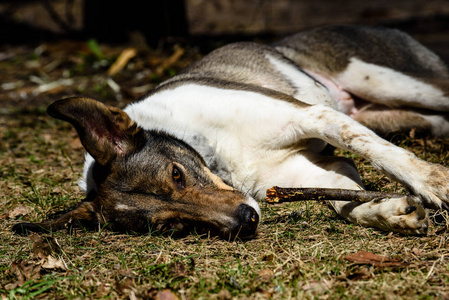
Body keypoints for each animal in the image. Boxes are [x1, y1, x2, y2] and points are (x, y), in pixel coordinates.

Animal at [11, 24, 449, 239]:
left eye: (176, 174)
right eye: (171, 226)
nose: (247, 221)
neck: (216, 152)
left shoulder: (314, 116)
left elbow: (380, 152)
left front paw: (434, 182)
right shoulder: (305, 172)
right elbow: (346, 199)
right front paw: (391, 214)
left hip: (394, 81)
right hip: (404, 114)